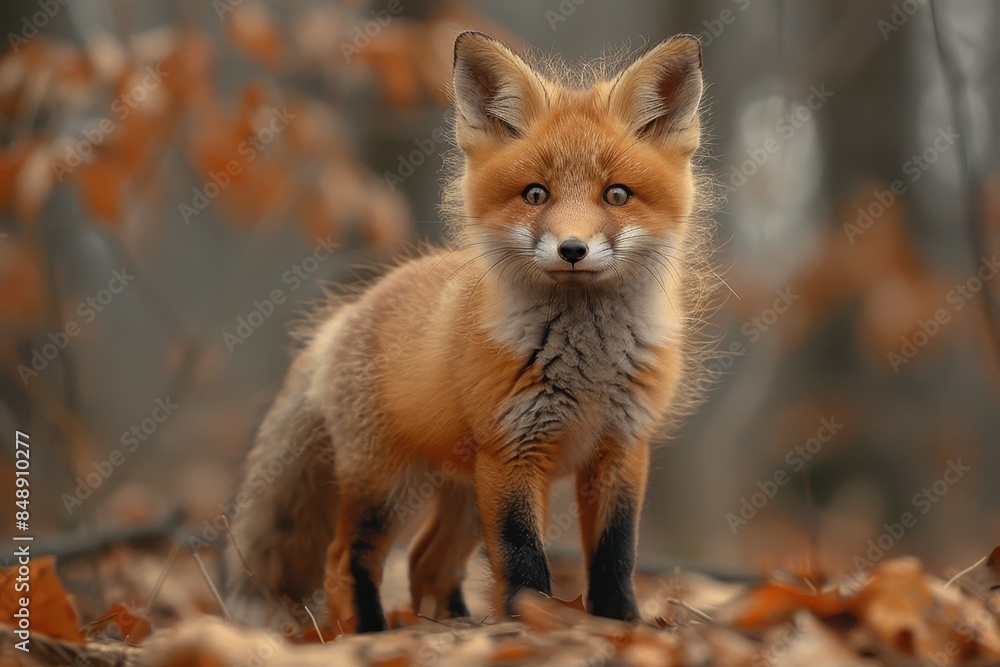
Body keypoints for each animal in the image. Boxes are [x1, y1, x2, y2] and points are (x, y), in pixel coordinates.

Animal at [221, 30, 716, 634]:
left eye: (616, 195)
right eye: (535, 194)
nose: (572, 249)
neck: (588, 368)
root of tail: (350, 311)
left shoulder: (620, 449)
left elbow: (615, 556)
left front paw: (623, 625)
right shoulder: (513, 451)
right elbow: (523, 559)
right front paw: (532, 626)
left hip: (462, 491)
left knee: (425, 561)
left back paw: (451, 625)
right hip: (388, 485)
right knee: (346, 560)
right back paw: (372, 631)